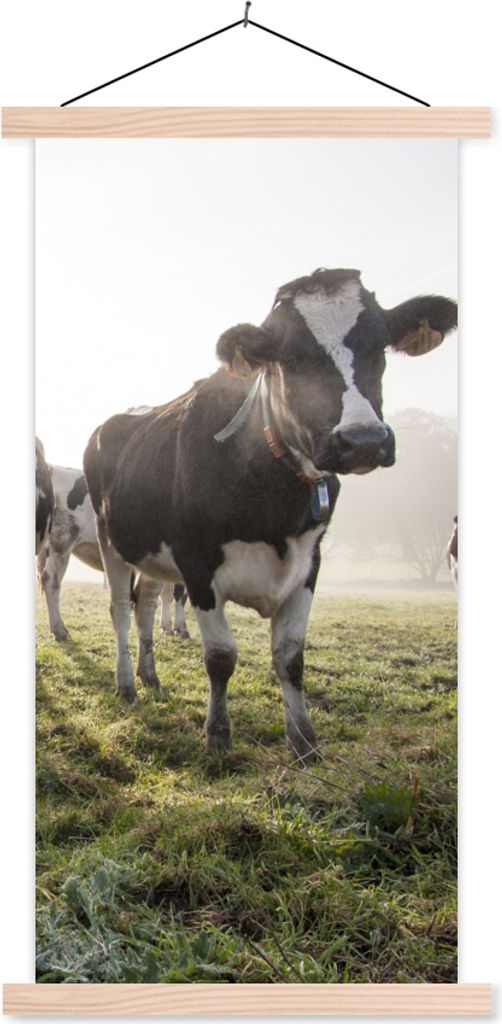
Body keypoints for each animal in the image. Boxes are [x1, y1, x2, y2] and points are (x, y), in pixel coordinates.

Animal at [38, 465, 189, 642]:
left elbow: (166, 594)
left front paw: (166, 626)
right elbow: (179, 595)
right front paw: (181, 628)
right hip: (62, 541)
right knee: (50, 580)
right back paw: (59, 630)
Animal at [84, 267, 457, 762]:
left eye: (378, 346)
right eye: (292, 356)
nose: (362, 440)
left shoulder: (309, 562)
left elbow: (290, 657)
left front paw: (304, 742)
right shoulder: (198, 564)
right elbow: (221, 657)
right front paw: (218, 735)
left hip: (153, 554)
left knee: (145, 606)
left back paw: (150, 677)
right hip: (112, 539)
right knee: (122, 610)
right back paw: (126, 684)